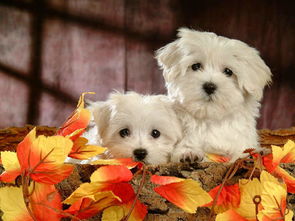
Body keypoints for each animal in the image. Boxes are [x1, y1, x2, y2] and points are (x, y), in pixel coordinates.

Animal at [156, 28, 274, 162]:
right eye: (195, 66)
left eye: (228, 72)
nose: (209, 86)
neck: (211, 119)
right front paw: (188, 152)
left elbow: (241, 150)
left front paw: (252, 153)